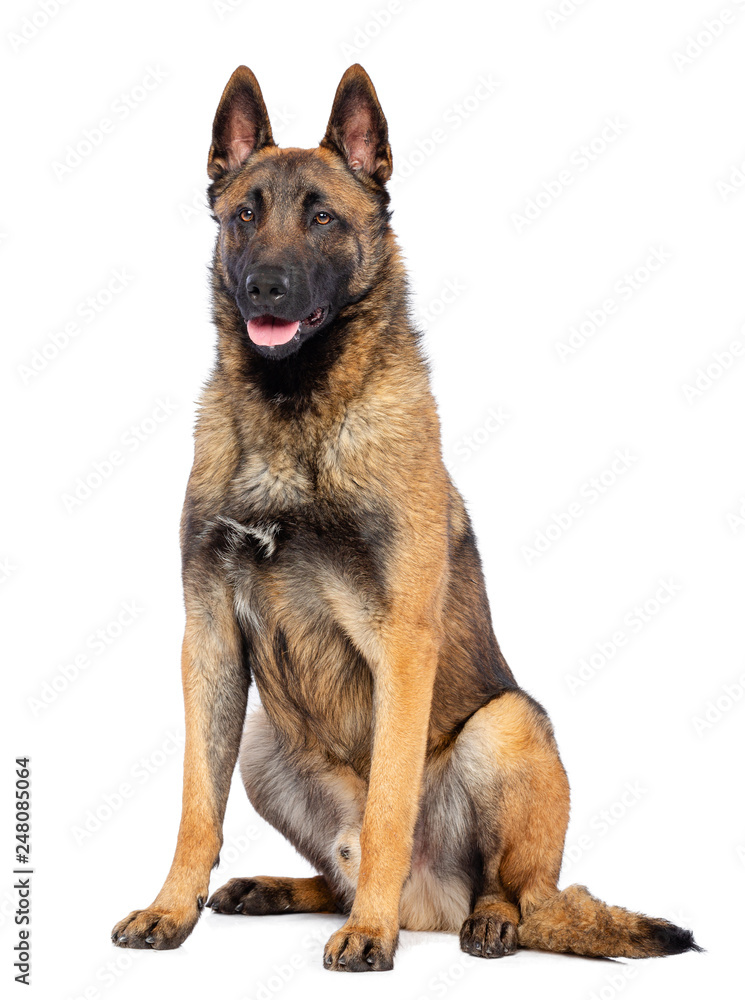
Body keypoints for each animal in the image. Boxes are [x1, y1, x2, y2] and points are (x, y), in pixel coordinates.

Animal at [110, 66, 696, 972]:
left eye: (322, 218)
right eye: (244, 215)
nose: (264, 286)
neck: (294, 412)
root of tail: (433, 906)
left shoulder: (401, 642)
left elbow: (389, 806)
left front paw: (369, 937)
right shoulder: (208, 639)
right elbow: (194, 806)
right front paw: (173, 909)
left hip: (509, 725)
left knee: (520, 891)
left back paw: (475, 921)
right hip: (264, 744)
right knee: (336, 871)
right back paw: (288, 890)